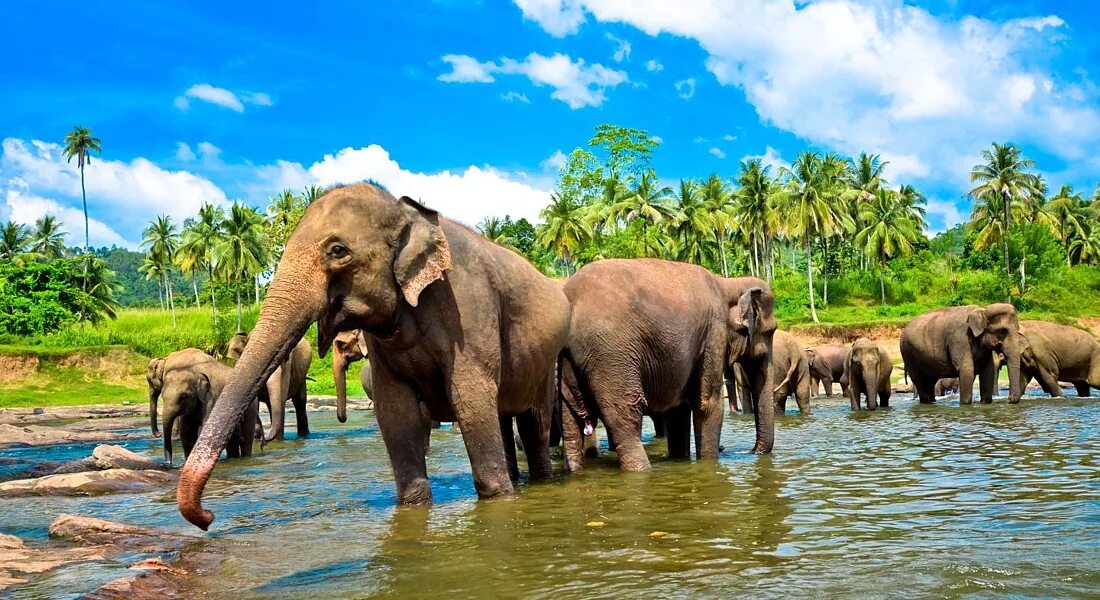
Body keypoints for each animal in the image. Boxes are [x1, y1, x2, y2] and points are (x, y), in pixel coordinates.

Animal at [176, 183, 572, 528]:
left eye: (337, 250)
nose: (208, 518)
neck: (407, 212)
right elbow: (396, 411)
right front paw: (413, 507)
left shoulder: (470, 310)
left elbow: (470, 399)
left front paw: (498, 499)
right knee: (503, 419)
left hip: (546, 360)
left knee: (533, 425)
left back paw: (539, 479)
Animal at [558, 257, 774, 473]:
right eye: (770, 332)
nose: (747, 451)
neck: (727, 283)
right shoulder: (713, 332)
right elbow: (708, 403)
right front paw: (708, 463)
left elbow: (678, 409)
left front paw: (681, 459)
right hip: (612, 356)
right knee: (626, 418)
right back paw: (642, 470)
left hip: (570, 361)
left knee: (571, 422)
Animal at [897, 301, 1025, 405]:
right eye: (1003, 331)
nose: (1009, 399)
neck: (983, 309)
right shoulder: (960, 339)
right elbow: (966, 369)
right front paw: (965, 404)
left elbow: (988, 370)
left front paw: (985, 402)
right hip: (908, 354)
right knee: (920, 382)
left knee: (930, 382)